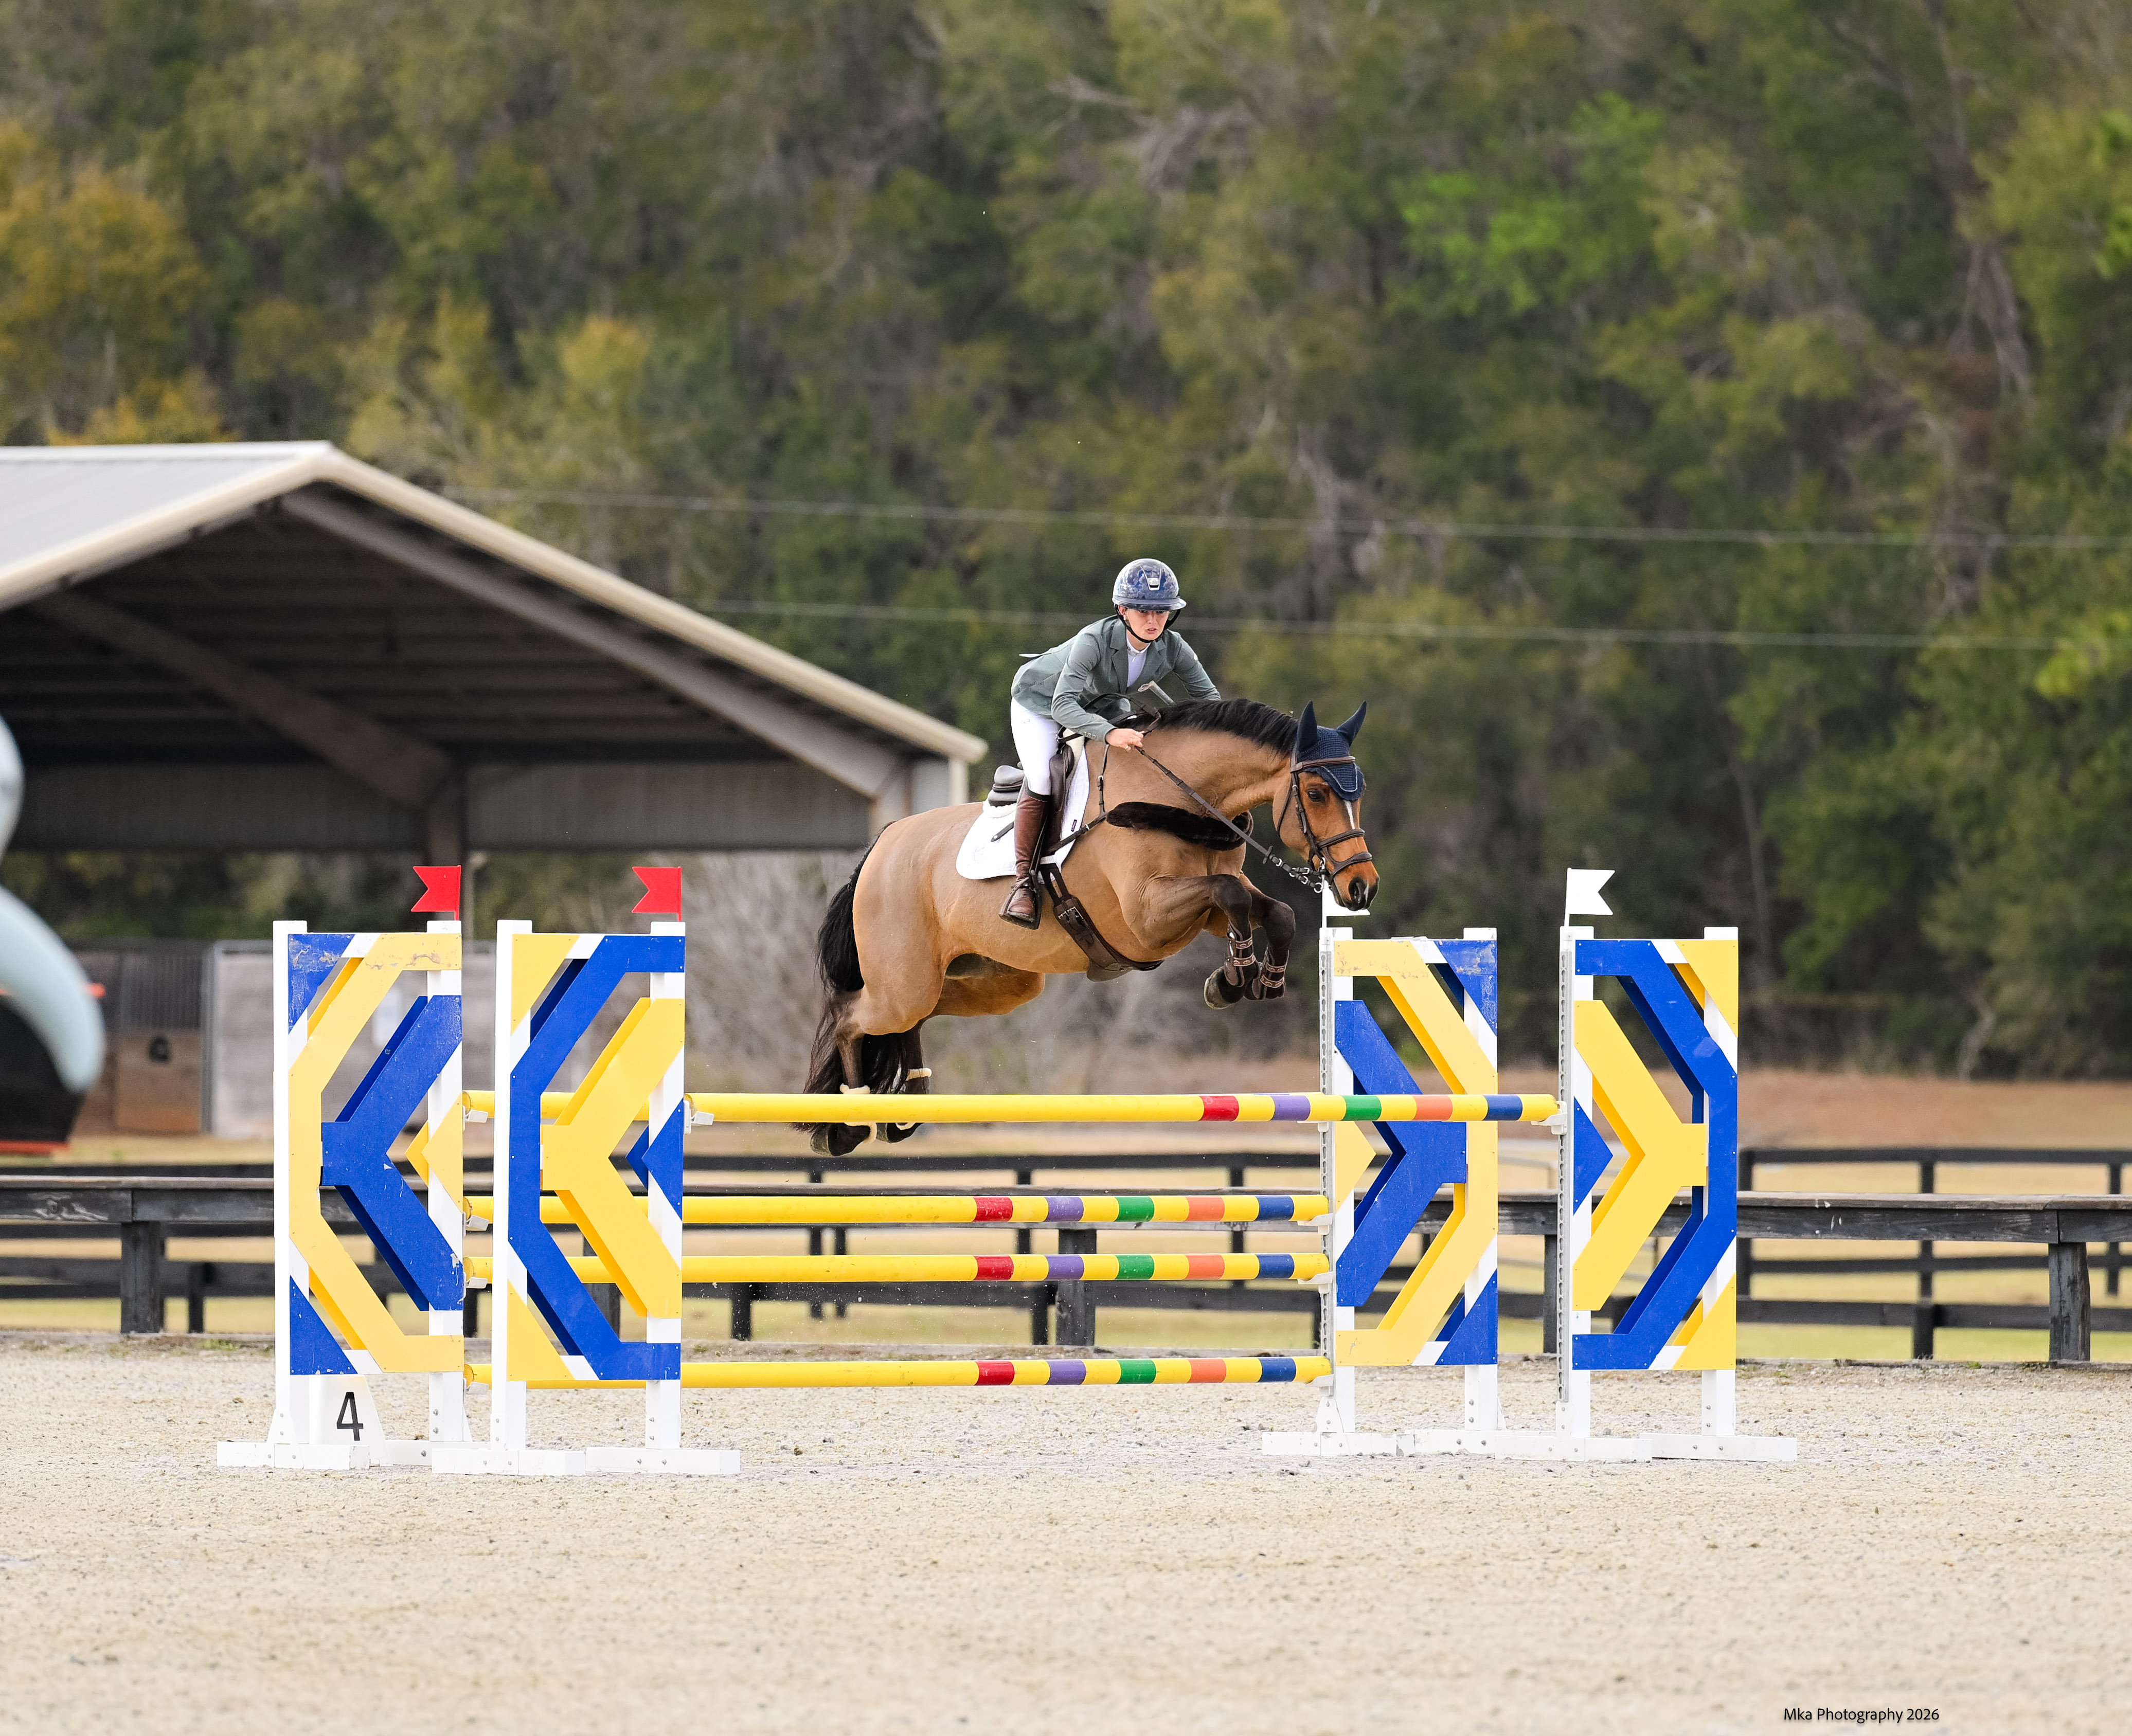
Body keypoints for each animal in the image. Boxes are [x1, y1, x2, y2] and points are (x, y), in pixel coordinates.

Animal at [798, 697, 1378, 1154]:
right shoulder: (1148, 916)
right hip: (903, 982)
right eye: (1317, 794)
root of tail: (882, 844)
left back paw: (907, 1103)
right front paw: (1235, 976)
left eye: (1359, 791)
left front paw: (1250, 979)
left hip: (995, 982)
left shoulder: (1201, 906)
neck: (1180, 797)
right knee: (850, 1015)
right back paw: (846, 1123)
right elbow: (1230, 895)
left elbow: (1271, 910)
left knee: (913, 1017)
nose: (1361, 888)